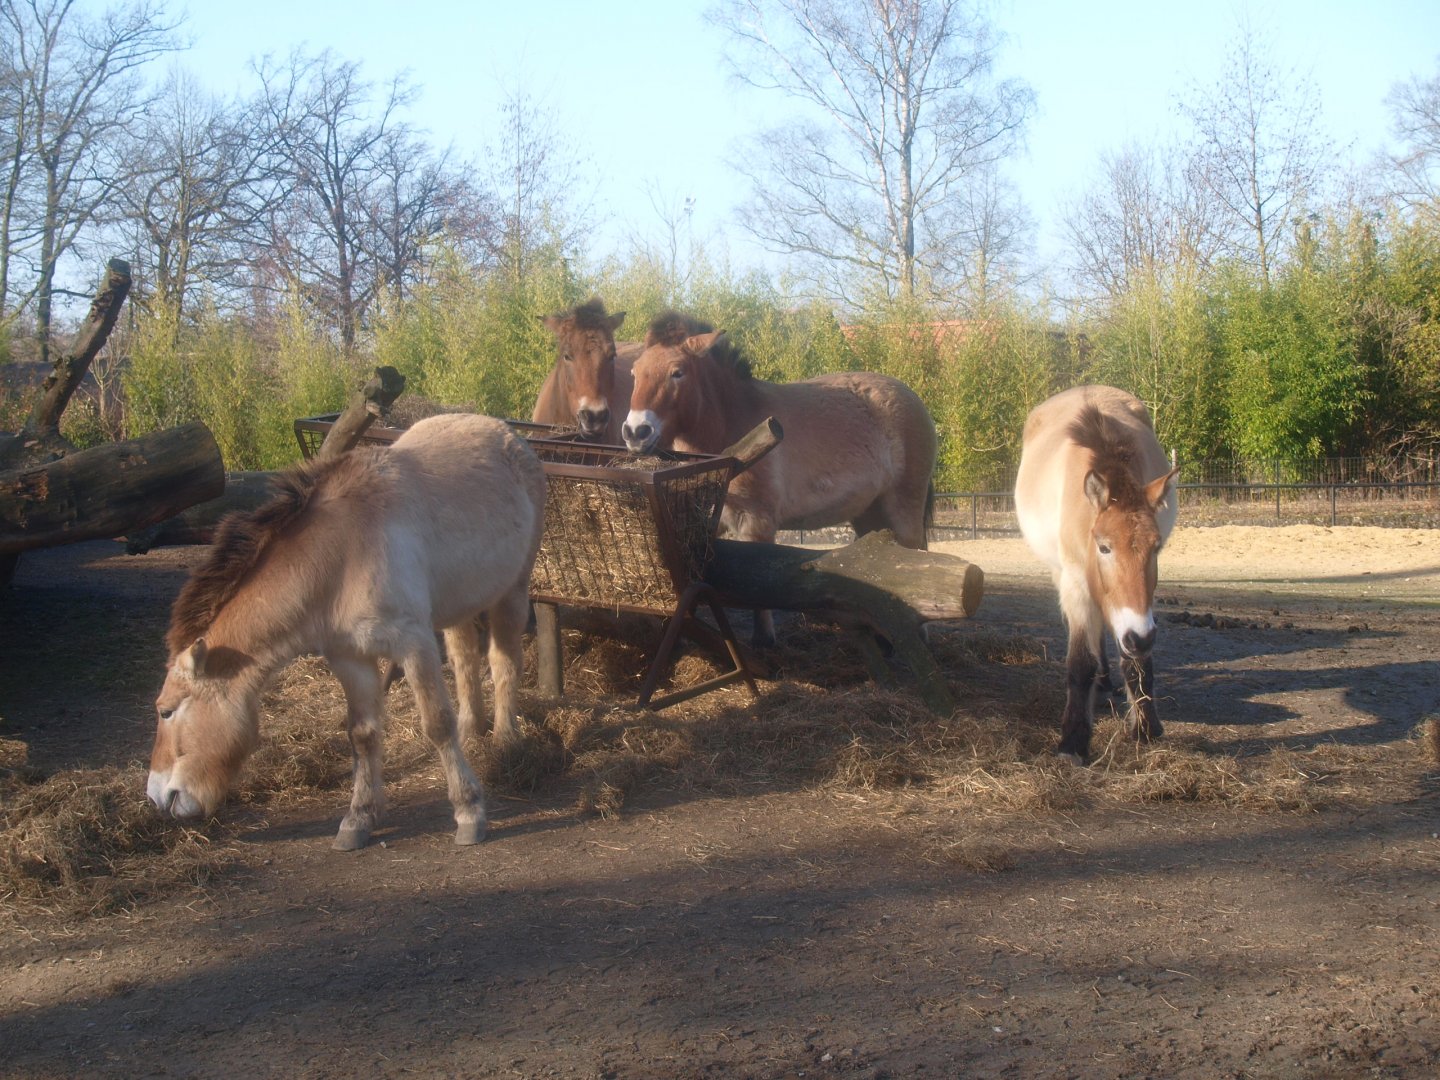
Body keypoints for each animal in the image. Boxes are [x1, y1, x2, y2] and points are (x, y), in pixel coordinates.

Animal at [146, 413, 547, 850]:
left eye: (167, 711)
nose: (157, 797)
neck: (340, 556)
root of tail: (504, 431)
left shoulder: (413, 645)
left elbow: (437, 724)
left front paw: (468, 810)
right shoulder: (349, 657)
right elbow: (363, 735)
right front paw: (359, 818)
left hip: (512, 592)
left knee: (504, 659)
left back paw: (506, 740)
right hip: (459, 604)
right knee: (464, 659)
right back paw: (472, 730)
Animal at [622, 313, 938, 647]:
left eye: (677, 373)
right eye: (635, 372)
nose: (635, 432)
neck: (733, 424)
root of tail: (913, 399)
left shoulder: (757, 522)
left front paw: (764, 639)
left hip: (904, 509)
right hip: (870, 514)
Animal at [1013, 385, 1179, 763]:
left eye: (1155, 547)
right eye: (1104, 547)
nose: (1140, 637)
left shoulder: (1140, 606)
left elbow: (1137, 662)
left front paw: (1145, 727)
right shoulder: (1076, 583)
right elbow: (1080, 663)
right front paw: (1073, 741)